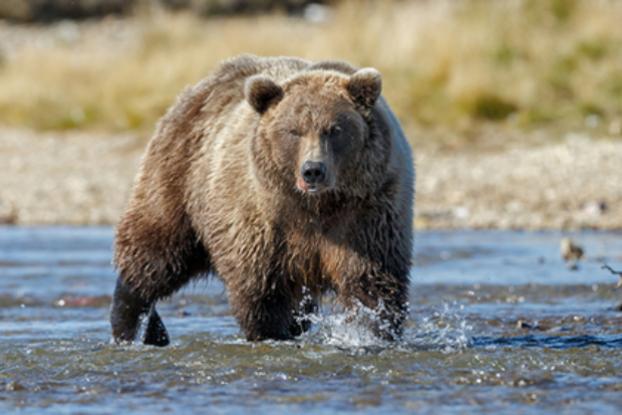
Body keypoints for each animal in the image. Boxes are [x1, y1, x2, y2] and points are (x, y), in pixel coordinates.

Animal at [110, 56, 416, 348]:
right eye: (293, 130)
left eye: (335, 129)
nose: (313, 170)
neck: (315, 205)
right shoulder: (263, 221)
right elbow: (261, 289)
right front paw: (271, 333)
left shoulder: (365, 214)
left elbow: (370, 282)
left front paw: (371, 330)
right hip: (180, 177)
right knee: (156, 249)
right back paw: (132, 324)